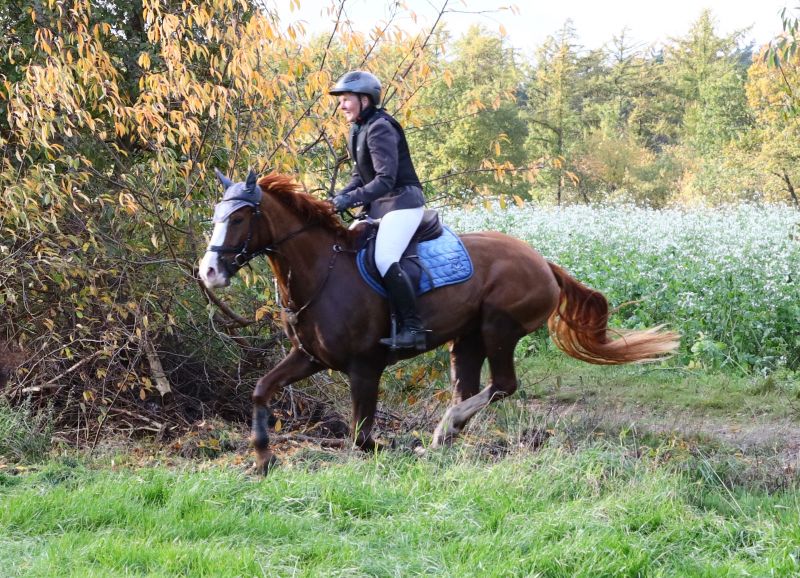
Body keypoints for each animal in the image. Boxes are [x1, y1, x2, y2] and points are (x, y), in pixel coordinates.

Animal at [199, 170, 679, 473]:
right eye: (216, 215)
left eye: (238, 217)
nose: (209, 272)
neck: (323, 272)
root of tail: (542, 262)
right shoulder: (309, 357)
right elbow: (262, 390)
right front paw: (263, 460)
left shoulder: (364, 368)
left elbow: (361, 436)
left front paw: (382, 448)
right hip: (466, 340)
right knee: (472, 388)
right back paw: (446, 435)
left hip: (498, 329)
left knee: (502, 385)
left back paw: (443, 429)